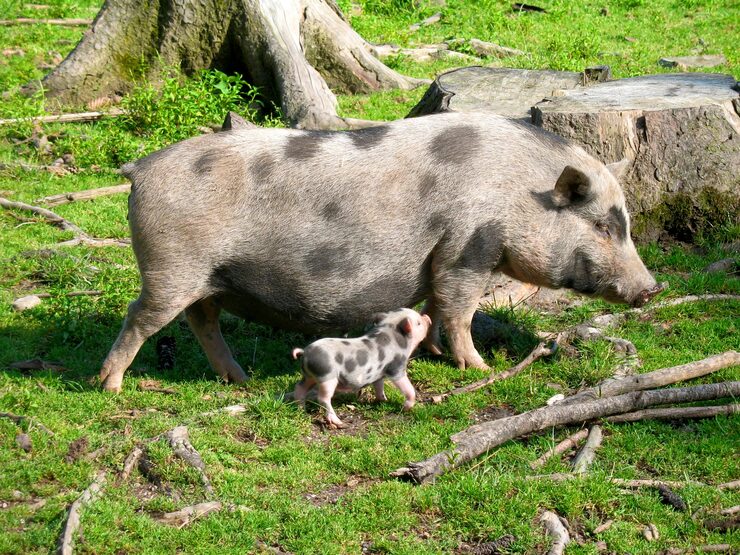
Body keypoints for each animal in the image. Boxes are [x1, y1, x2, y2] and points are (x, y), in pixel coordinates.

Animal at [99, 112, 663, 392]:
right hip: (172, 266)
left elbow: (436, 306)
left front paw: (434, 353)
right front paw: (479, 370)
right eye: (603, 225)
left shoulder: (444, 257)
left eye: (623, 224)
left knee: (202, 320)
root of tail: (140, 169)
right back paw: (109, 387)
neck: (519, 191)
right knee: (140, 316)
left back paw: (237, 379)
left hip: (206, 277)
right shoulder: (469, 246)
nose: (653, 289)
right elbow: (460, 309)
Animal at [292, 308, 431, 428]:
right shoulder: (396, 368)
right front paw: (407, 408)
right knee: (323, 398)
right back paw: (338, 422)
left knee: (299, 388)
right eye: (418, 323)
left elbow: (379, 387)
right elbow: (408, 388)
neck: (390, 330)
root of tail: (305, 353)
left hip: (309, 376)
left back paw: (301, 409)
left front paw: (383, 401)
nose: (427, 317)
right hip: (327, 377)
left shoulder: (378, 374)